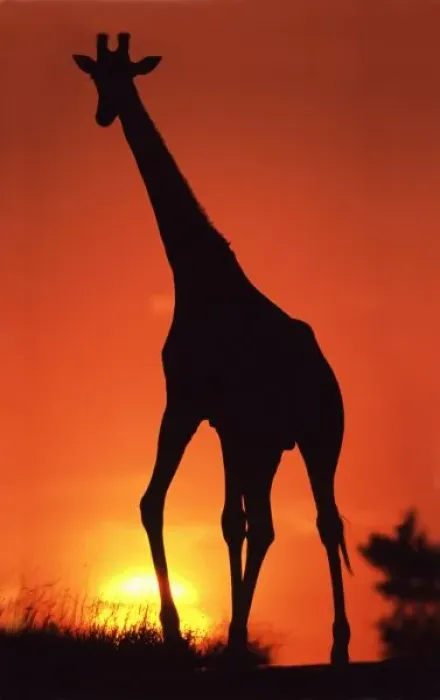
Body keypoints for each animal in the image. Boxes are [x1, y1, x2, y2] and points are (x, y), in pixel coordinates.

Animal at [73, 33, 352, 666]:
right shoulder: (220, 420)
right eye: (96, 76)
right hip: (268, 443)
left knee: (326, 522)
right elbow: (221, 519)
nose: (105, 113)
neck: (195, 274)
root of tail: (328, 375)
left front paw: (177, 631)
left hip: (321, 436)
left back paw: (338, 643)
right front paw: (222, 633)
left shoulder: (184, 402)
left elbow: (157, 502)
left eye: (126, 74)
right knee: (269, 524)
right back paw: (243, 636)